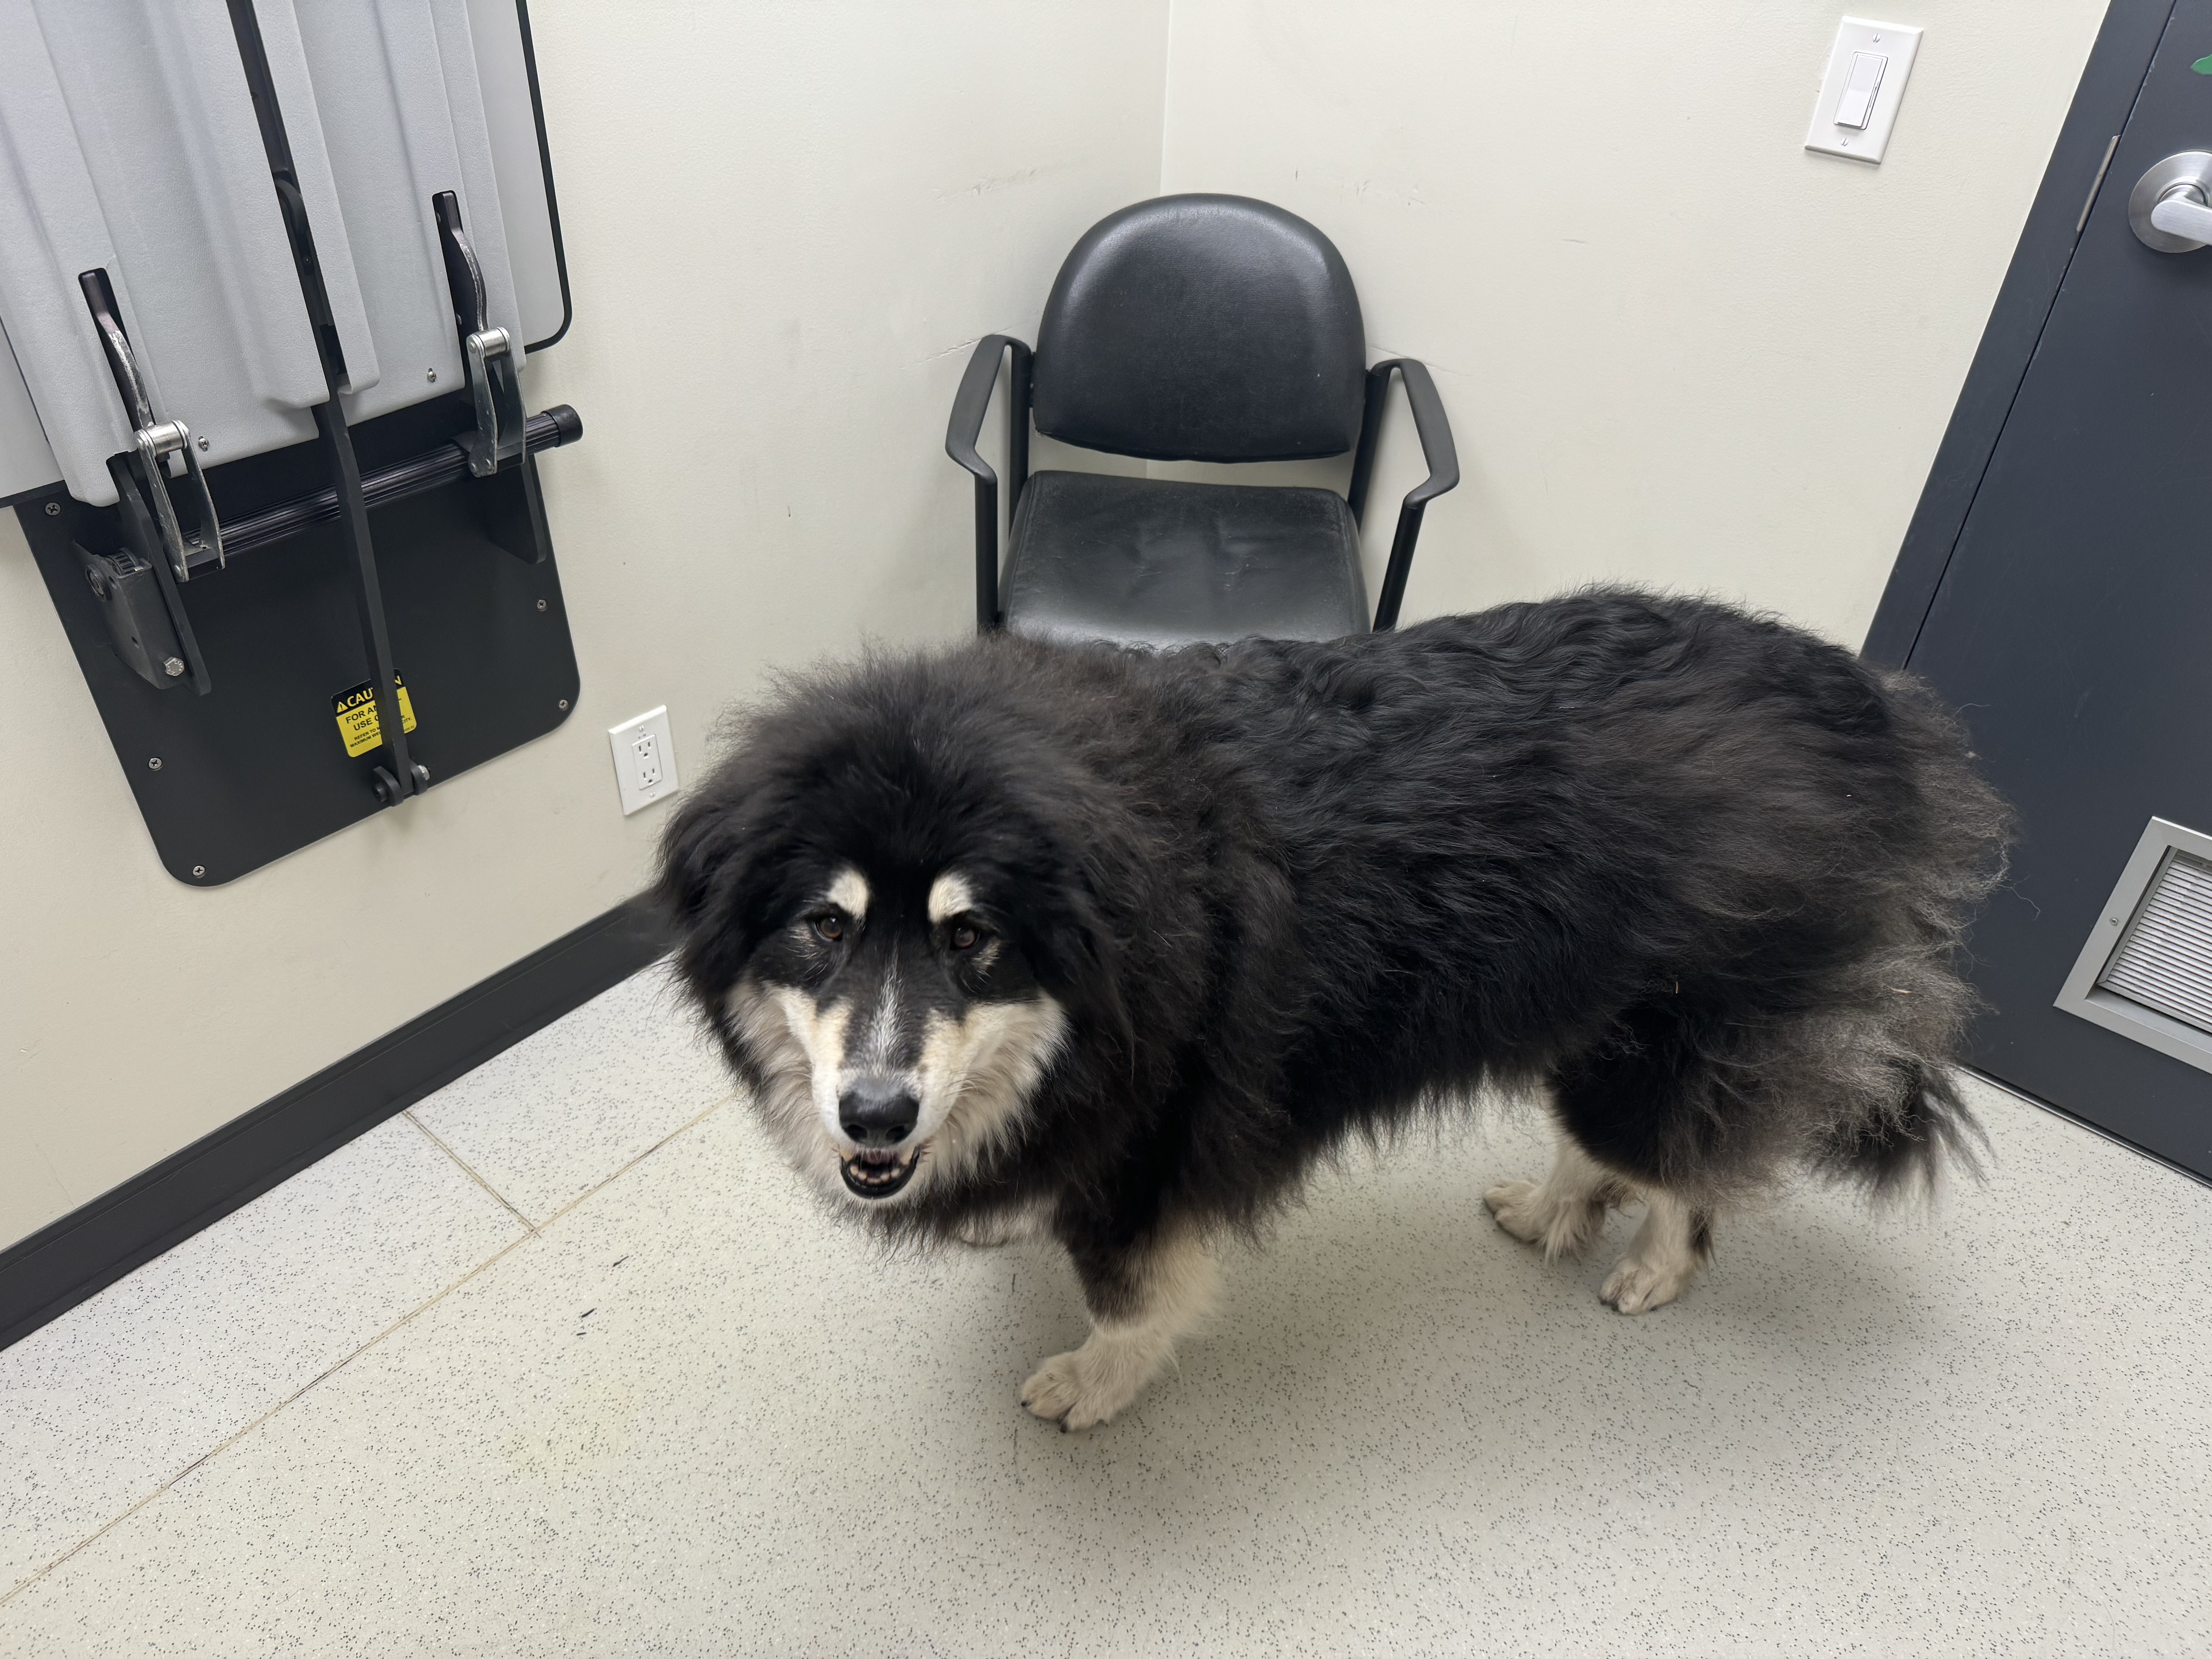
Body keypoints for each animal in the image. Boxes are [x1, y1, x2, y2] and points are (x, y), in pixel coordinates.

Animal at [657, 588, 2008, 1431]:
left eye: (972, 938)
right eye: (823, 927)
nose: (876, 1116)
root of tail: (1875, 710)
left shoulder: (1157, 1145)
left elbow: (1131, 1297)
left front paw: (1096, 1381)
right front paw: (1002, 1209)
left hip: (1670, 1041)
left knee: (1683, 1165)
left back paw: (1651, 1267)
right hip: (1587, 1018)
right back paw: (1550, 1211)